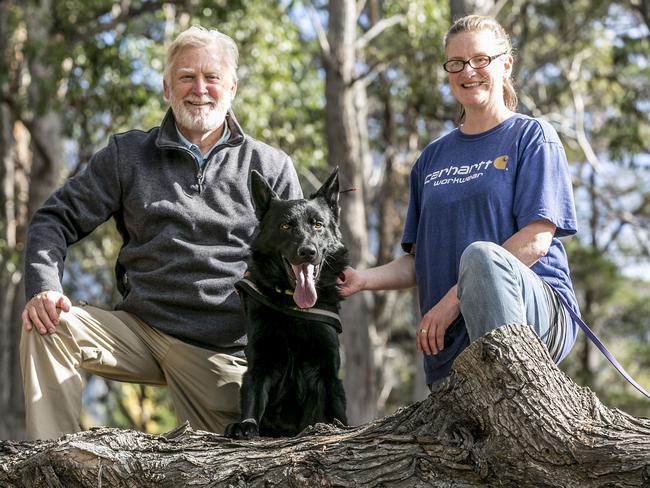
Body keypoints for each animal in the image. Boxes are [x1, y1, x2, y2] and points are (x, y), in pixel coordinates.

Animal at [225, 168, 350, 438]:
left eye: (318, 225)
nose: (307, 252)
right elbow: (252, 399)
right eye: (285, 226)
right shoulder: (260, 365)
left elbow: (337, 415)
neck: (293, 306)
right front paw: (245, 425)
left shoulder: (328, 374)